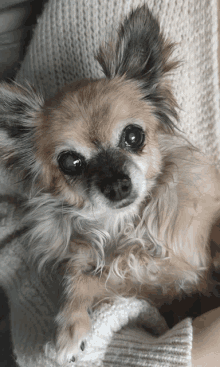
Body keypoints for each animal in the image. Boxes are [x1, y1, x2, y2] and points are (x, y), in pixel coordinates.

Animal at [0, 3, 220, 366]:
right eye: (70, 162)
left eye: (133, 136)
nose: (117, 186)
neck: (120, 225)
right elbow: (79, 273)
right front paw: (72, 319)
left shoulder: (178, 272)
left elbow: (107, 276)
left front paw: (70, 327)